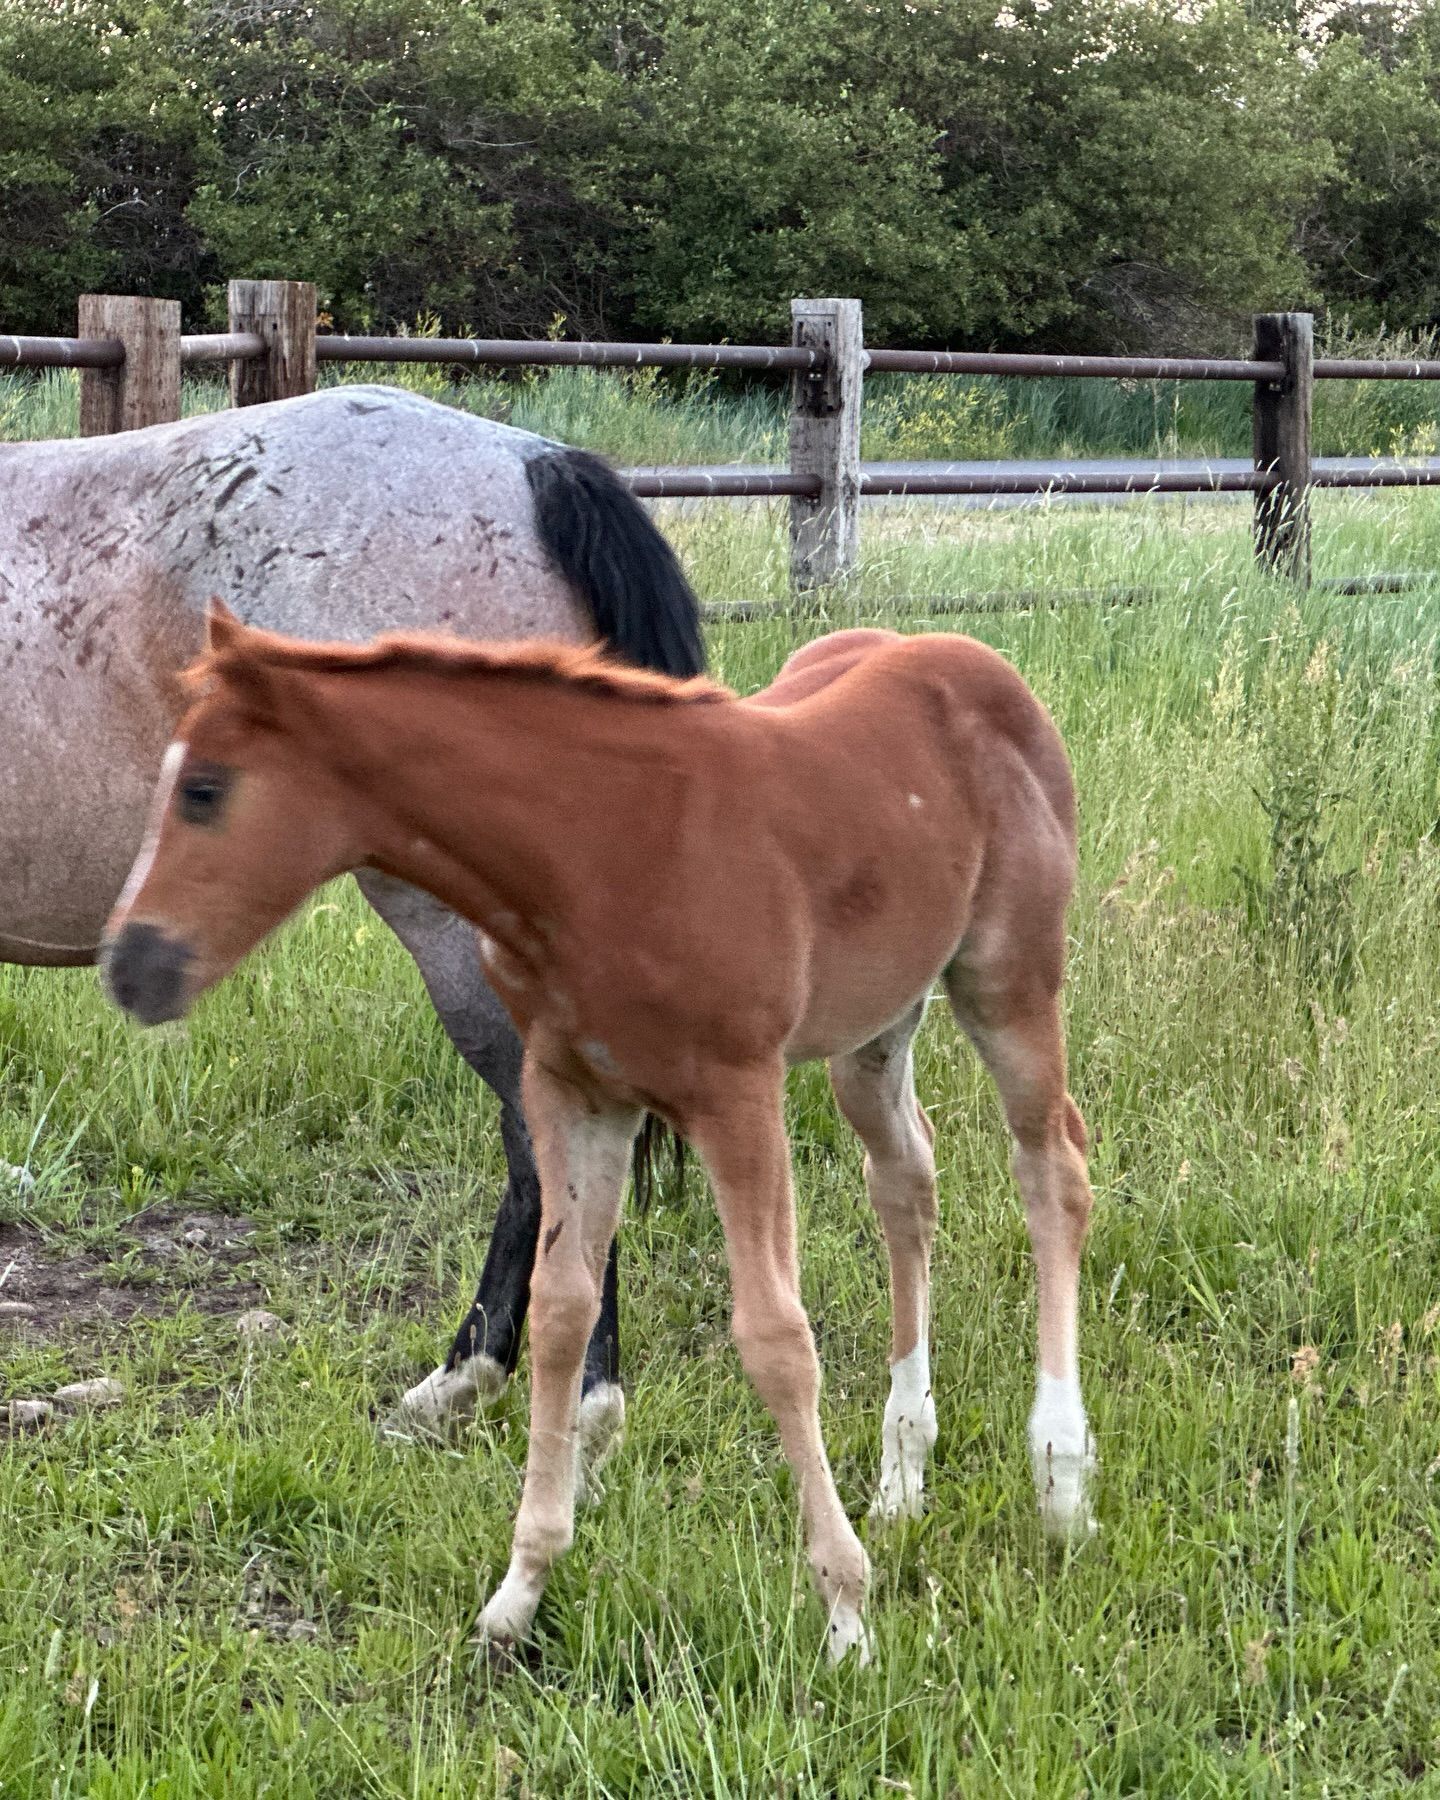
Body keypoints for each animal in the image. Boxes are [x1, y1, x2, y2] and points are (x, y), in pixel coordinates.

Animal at [101, 605, 1097, 1664]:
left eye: (204, 790)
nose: (128, 966)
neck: (594, 850)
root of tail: (969, 659)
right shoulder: (572, 1091)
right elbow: (562, 1311)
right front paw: (521, 1591)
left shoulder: (736, 1095)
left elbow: (776, 1337)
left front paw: (846, 1616)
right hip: (872, 1030)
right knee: (906, 1178)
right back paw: (903, 1473)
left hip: (1008, 981)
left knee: (1053, 1170)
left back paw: (1062, 1481)